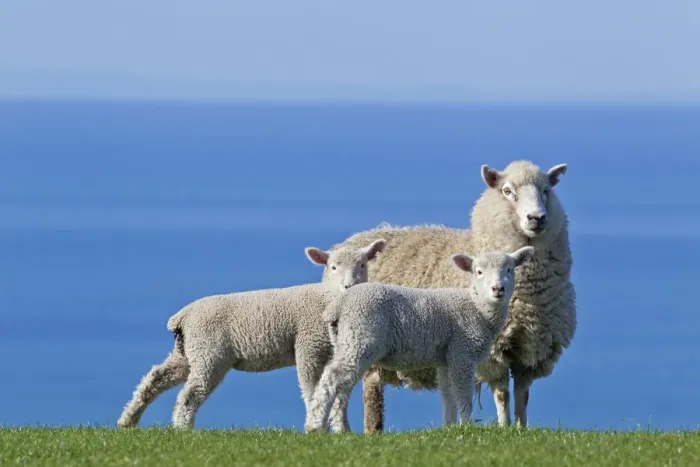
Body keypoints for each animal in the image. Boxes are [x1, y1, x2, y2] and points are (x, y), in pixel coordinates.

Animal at [116, 238, 386, 431]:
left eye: (363, 265)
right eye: (333, 267)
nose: (349, 286)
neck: (326, 297)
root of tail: (182, 316)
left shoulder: (335, 351)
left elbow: (339, 394)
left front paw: (342, 429)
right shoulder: (308, 346)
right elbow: (312, 388)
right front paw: (316, 423)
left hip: (187, 352)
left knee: (155, 379)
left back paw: (128, 421)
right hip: (209, 354)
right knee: (189, 394)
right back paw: (184, 429)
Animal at [304, 247, 536, 433]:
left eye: (510, 270)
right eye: (478, 272)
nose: (498, 289)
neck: (477, 307)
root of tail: (338, 305)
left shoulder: (447, 358)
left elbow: (448, 394)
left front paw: (449, 427)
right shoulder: (462, 352)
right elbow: (463, 393)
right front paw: (467, 425)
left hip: (345, 339)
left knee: (342, 384)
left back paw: (335, 427)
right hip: (360, 336)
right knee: (332, 377)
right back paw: (315, 426)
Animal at [329, 160, 576, 431]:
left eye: (546, 190)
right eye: (507, 191)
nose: (537, 218)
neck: (527, 298)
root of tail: (358, 237)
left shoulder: (531, 350)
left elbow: (522, 395)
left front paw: (522, 429)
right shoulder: (492, 354)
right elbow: (502, 394)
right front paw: (504, 428)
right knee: (365, 391)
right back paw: (363, 429)